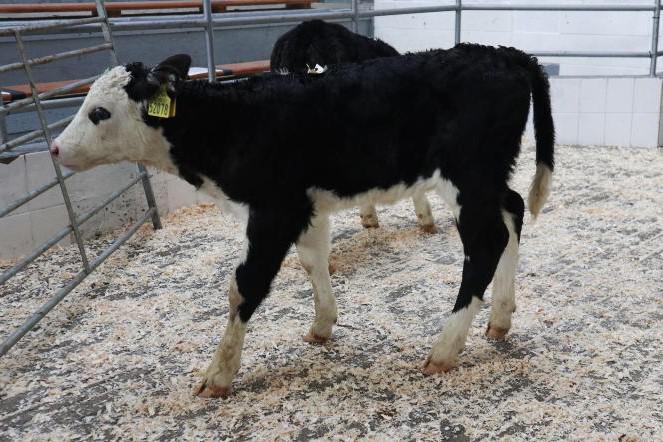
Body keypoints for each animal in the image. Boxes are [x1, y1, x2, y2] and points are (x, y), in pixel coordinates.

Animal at [51, 43, 554, 398]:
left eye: (99, 112)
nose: (55, 148)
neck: (231, 122)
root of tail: (502, 53)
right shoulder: (305, 208)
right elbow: (314, 261)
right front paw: (323, 324)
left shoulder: (274, 210)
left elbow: (245, 286)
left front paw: (219, 373)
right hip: (489, 178)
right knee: (512, 213)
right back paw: (500, 317)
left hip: (467, 176)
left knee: (485, 244)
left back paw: (445, 349)